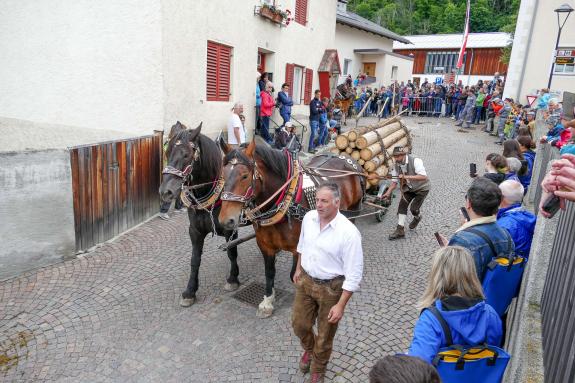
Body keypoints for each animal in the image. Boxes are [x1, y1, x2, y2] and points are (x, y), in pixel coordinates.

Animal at [158, 123, 241, 308]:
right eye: (167, 153)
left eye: (186, 155)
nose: (166, 192)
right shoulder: (195, 231)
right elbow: (195, 260)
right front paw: (190, 291)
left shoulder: (230, 228)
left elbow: (232, 252)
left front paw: (233, 278)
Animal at [218, 140, 362, 318]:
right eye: (223, 175)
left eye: (244, 176)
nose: (226, 220)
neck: (286, 203)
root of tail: (348, 159)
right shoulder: (265, 246)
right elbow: (269, 271)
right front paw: (267, 302)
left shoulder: (298, 247)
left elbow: (294, 274)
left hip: (354, 209)